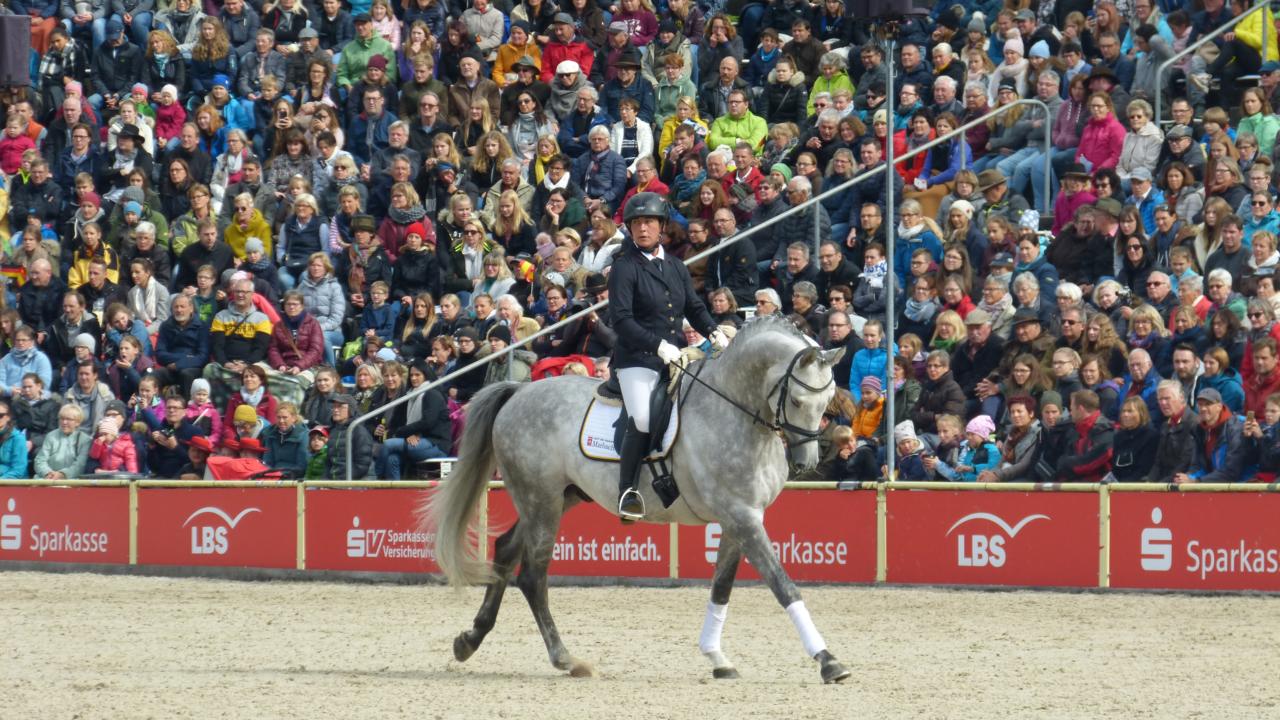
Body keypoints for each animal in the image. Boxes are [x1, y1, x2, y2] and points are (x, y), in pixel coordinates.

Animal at [426, 315, 852, 683]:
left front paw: (717, 657)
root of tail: (520, 391)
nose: (806, 463)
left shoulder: (740, 519)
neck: (736, 412)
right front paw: (828, 660)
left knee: (505, 549)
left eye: (829, 399)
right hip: (540, 499)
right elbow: (783, 585)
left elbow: (722, 588)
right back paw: (566, 659)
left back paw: (470, 640)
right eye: (797, 401)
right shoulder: (740, 516)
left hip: (558, 498)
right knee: (532, 576)